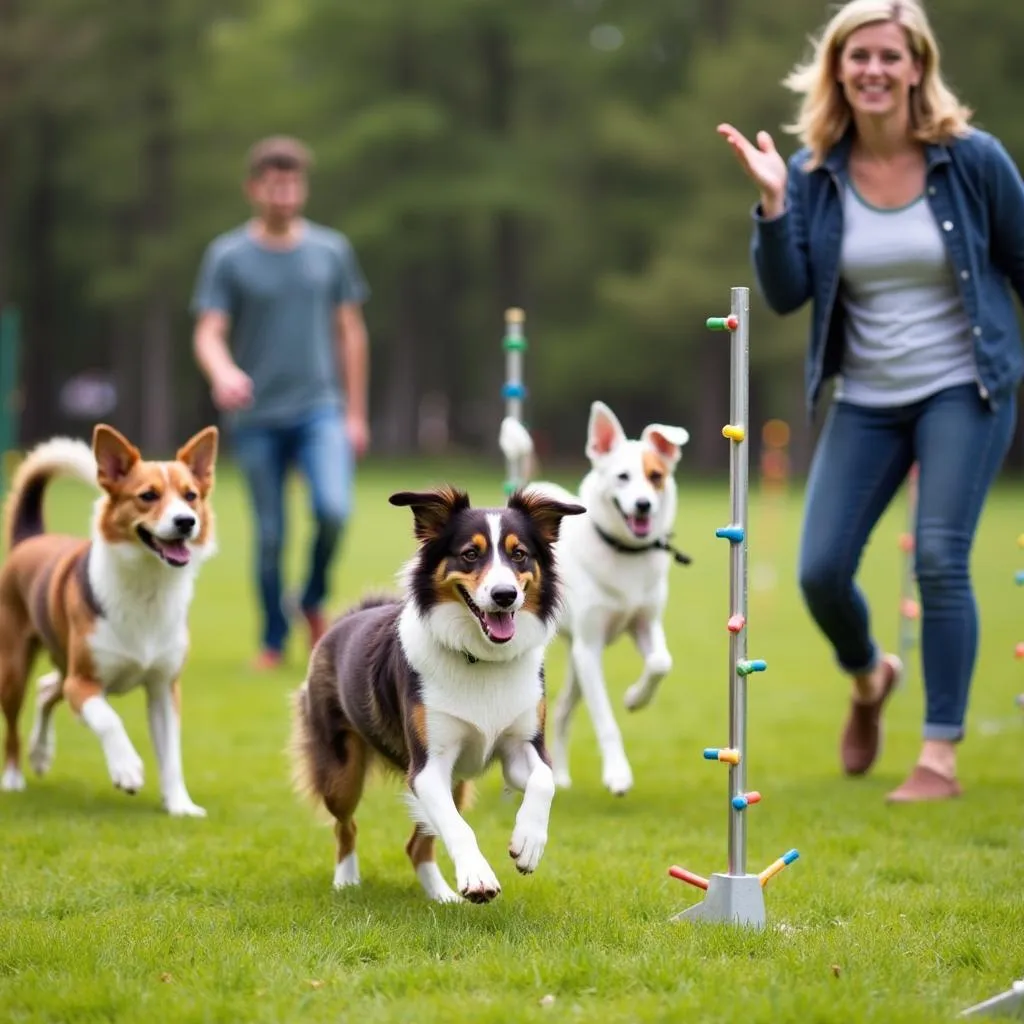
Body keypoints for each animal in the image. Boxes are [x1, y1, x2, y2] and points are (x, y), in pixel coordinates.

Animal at [0, 419, 216, 811]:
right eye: (148, 496)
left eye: (191, 495)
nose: (186, 521)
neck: (147, 588)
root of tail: (31, 538)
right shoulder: (83, 683)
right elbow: (108, 719)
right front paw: (127, 768)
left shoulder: (164, 687)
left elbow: (172, 754)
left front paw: (179, 804)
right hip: (14, 668)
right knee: (14, 722)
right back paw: (12, 777)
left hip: (63, 665)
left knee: (46, 689)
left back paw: (40, 753)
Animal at [288, 483, 585, 901]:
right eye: (470, 554)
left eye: (519, 554)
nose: (505, 595)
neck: (480, 659)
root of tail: (348, 619)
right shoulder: (428, 765)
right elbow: (457, 827)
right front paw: (478, 877)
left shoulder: (521, 746)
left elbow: (544, 780)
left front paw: (528, 843)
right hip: (341, 773)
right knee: (346, 826)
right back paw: (346, 880)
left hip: (457, 782)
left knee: (417, 845)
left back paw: (442, 896)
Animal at [499, 403, 692, 794]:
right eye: (622, 477)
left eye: (656, 476)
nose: (643, 505)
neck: (625, 553)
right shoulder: (590, 648)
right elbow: (605, 719)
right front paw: (618, 773)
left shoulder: (645, 624)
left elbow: (660, 663)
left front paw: (635, 698)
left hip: (575, 665)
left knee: (561, 711)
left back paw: (558, 775)